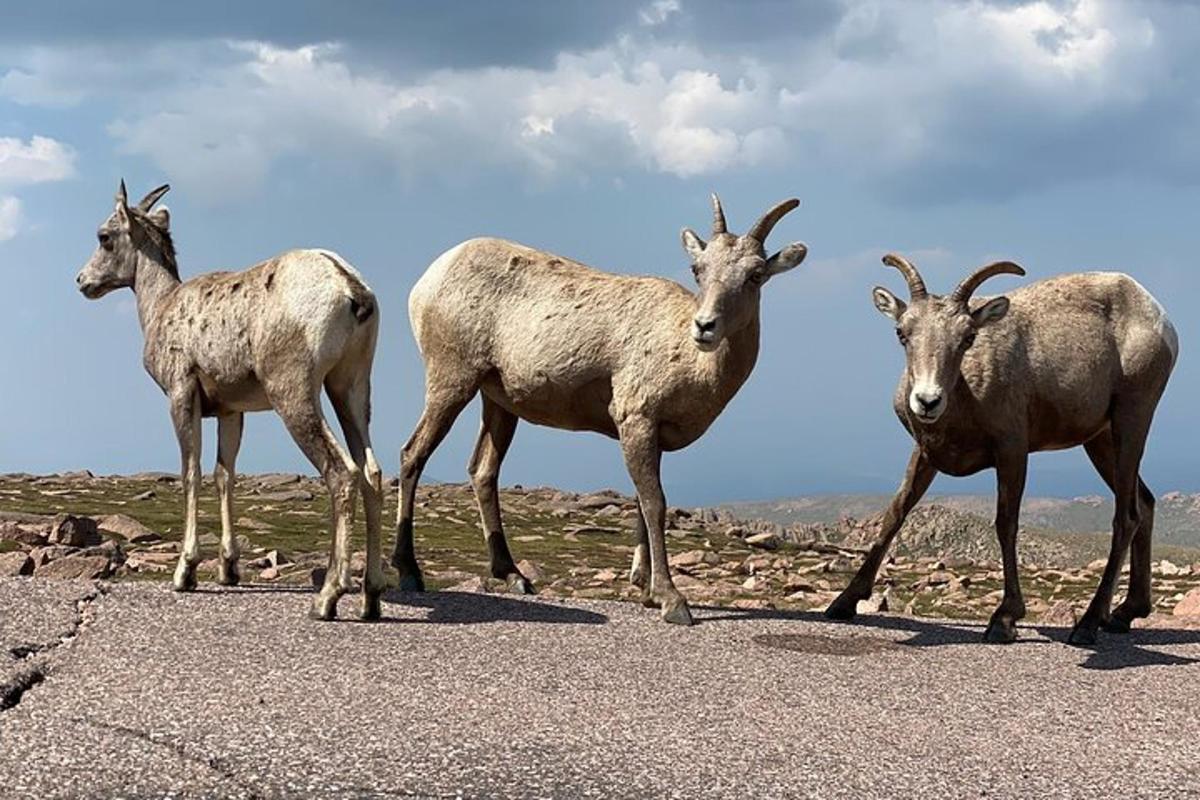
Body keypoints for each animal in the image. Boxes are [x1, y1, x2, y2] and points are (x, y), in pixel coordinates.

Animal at [77, 184, 384, 623]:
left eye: (104, 236)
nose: (82, 281)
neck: (161, 307)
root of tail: (351, 291)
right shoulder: (230, 411)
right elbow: (225, 475)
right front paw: (228, 570)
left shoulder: (181, 393)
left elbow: (191, 472)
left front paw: (185, 574)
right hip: (350, 387)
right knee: (372, 472)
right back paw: (371, 599)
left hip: (295, 392)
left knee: (343, 472)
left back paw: (327, 598)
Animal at [393, 194, 806, 623]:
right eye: (698, 269)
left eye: (756, 274)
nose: (704, 327)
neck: (690, 361)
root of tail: (428, 279)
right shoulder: (636, 420)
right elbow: (655, 504)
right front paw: (672, 601)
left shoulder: (651, 434)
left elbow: (642, 503)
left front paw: (646, 590)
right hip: (451, 381)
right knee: (413, 454)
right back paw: (409, 573)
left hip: (498, 402)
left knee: (482, 471)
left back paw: (515, 577)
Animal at [825, 256, 1171, 642]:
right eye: (902, 332)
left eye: (968, 337)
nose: (928, 401)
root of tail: (1157, 315)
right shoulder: (925, 455)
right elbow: (895, 514)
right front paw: (843, 603)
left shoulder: (1012, 452)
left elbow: (1006, 524)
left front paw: (1004, 619)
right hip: (1100, 441)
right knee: (1145, 503)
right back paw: (1125, 614)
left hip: (1132, 419)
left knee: (1126, 516)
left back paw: (1088, 625)